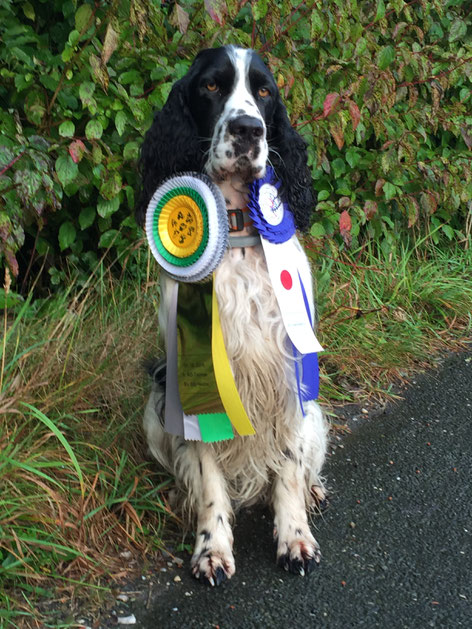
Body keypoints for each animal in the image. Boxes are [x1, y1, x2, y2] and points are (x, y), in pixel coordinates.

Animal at [135, 44, 328, 584]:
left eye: (264, 91)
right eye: (210, 85)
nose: (248, 130)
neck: (238, 236)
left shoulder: (288, 371)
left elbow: (288, 467)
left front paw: (294, 538)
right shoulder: (191, 378)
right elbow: (206, 477)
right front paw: (212, 548)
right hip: (155, 410)